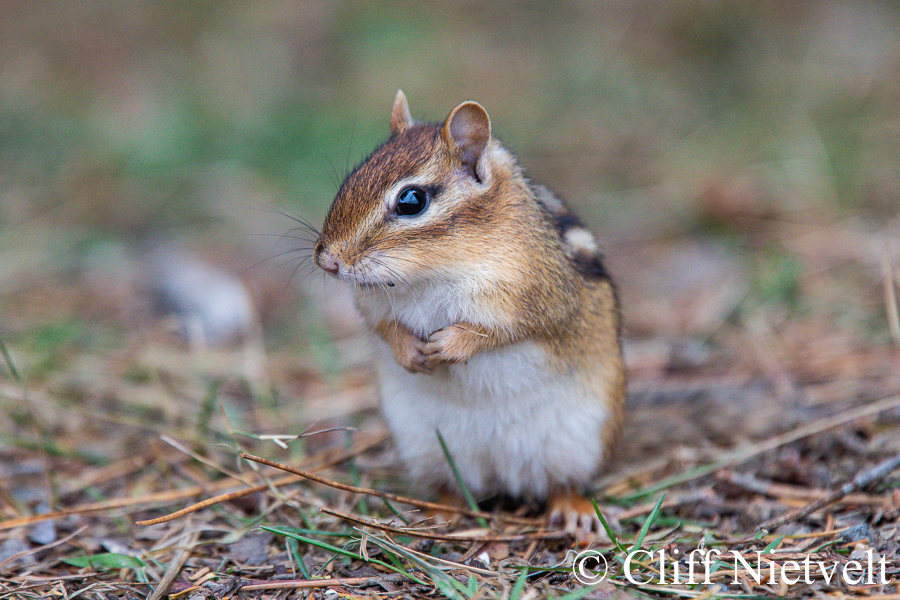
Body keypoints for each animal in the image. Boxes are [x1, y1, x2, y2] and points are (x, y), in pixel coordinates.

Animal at [313, 91, 625, 537]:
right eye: (351, 178)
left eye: (411, 200)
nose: (327, 261)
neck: (433, 271)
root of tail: (505, 474)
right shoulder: (373, 305)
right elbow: (385, 327)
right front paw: (410, 351)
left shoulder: (537, 298)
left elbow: (501, 331)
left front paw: (451, 344)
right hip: (427, 446)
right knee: (453, 487)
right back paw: (438, 514)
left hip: (579, 441)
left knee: (562, 484)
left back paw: (575, 511)